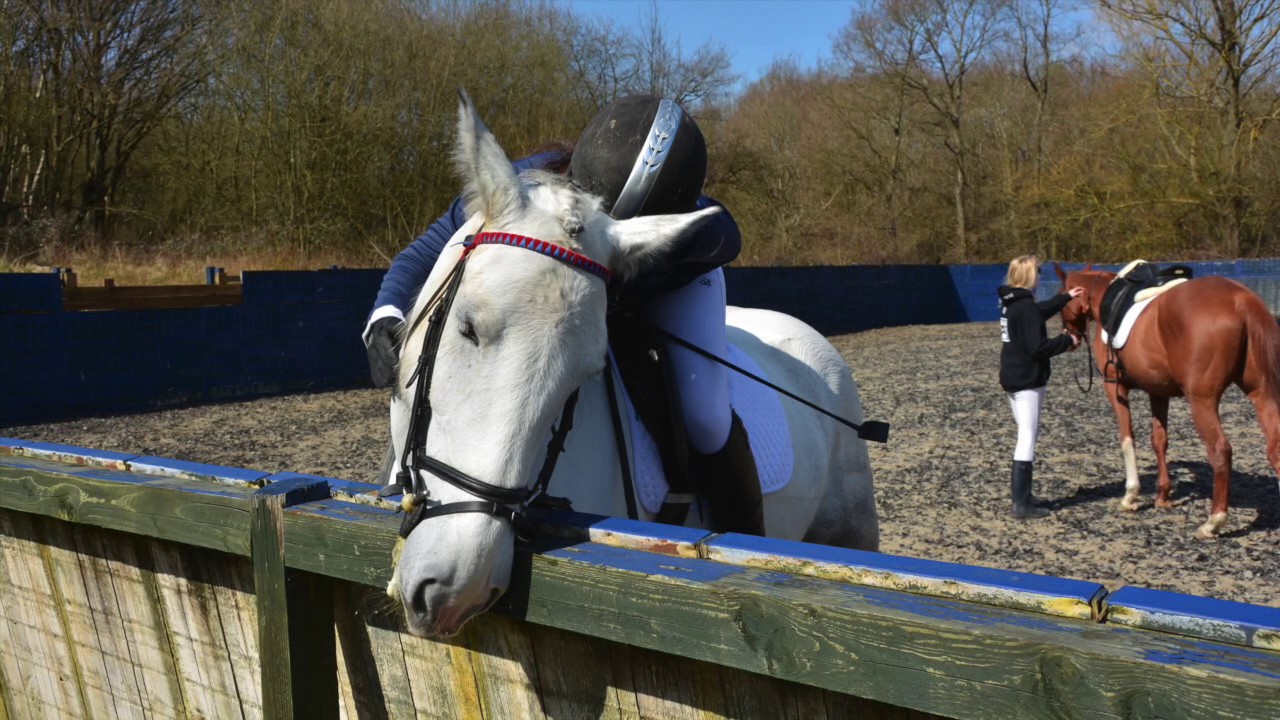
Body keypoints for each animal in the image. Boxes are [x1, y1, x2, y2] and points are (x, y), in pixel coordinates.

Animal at [1054, 263, 1280, 539]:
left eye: (1062, 298)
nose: (1071, 337)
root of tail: (1241, 299)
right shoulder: (1158, 392)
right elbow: (1159, 441)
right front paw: (1162, 496)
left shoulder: (1115, 388)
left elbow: (1127, 438)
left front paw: (1130, 496)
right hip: (1262, 393)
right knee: (1275, 449)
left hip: (1202, 401)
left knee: (1220, 451)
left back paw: (1213, 522)